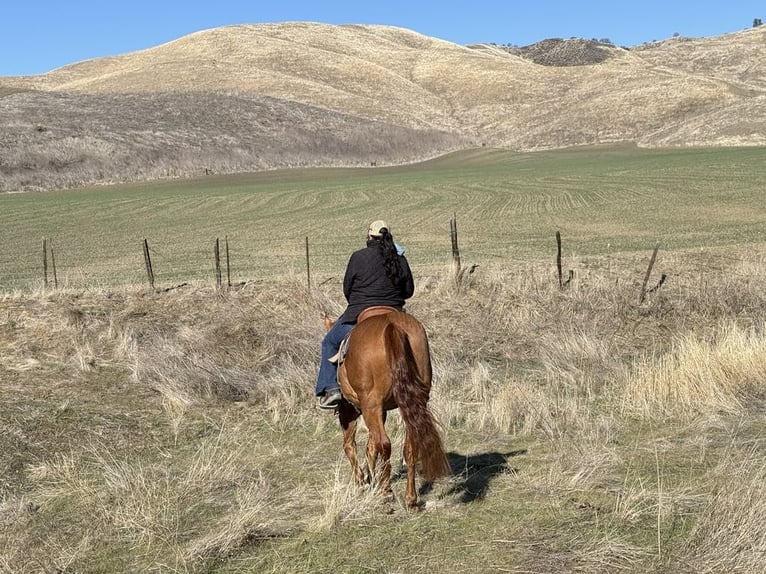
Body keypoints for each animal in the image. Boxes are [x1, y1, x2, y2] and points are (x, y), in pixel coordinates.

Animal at [325, 307, 450, 509]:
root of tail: (392, 324)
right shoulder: (380, 411)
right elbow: (370, 446)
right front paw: (369, 479)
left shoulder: (350, 410)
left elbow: (351, 445)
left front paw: (362, 482)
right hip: (414, 400)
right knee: (409, 446)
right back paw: (410, 498)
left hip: (370, 404)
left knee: (384, 443)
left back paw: (387, 492)